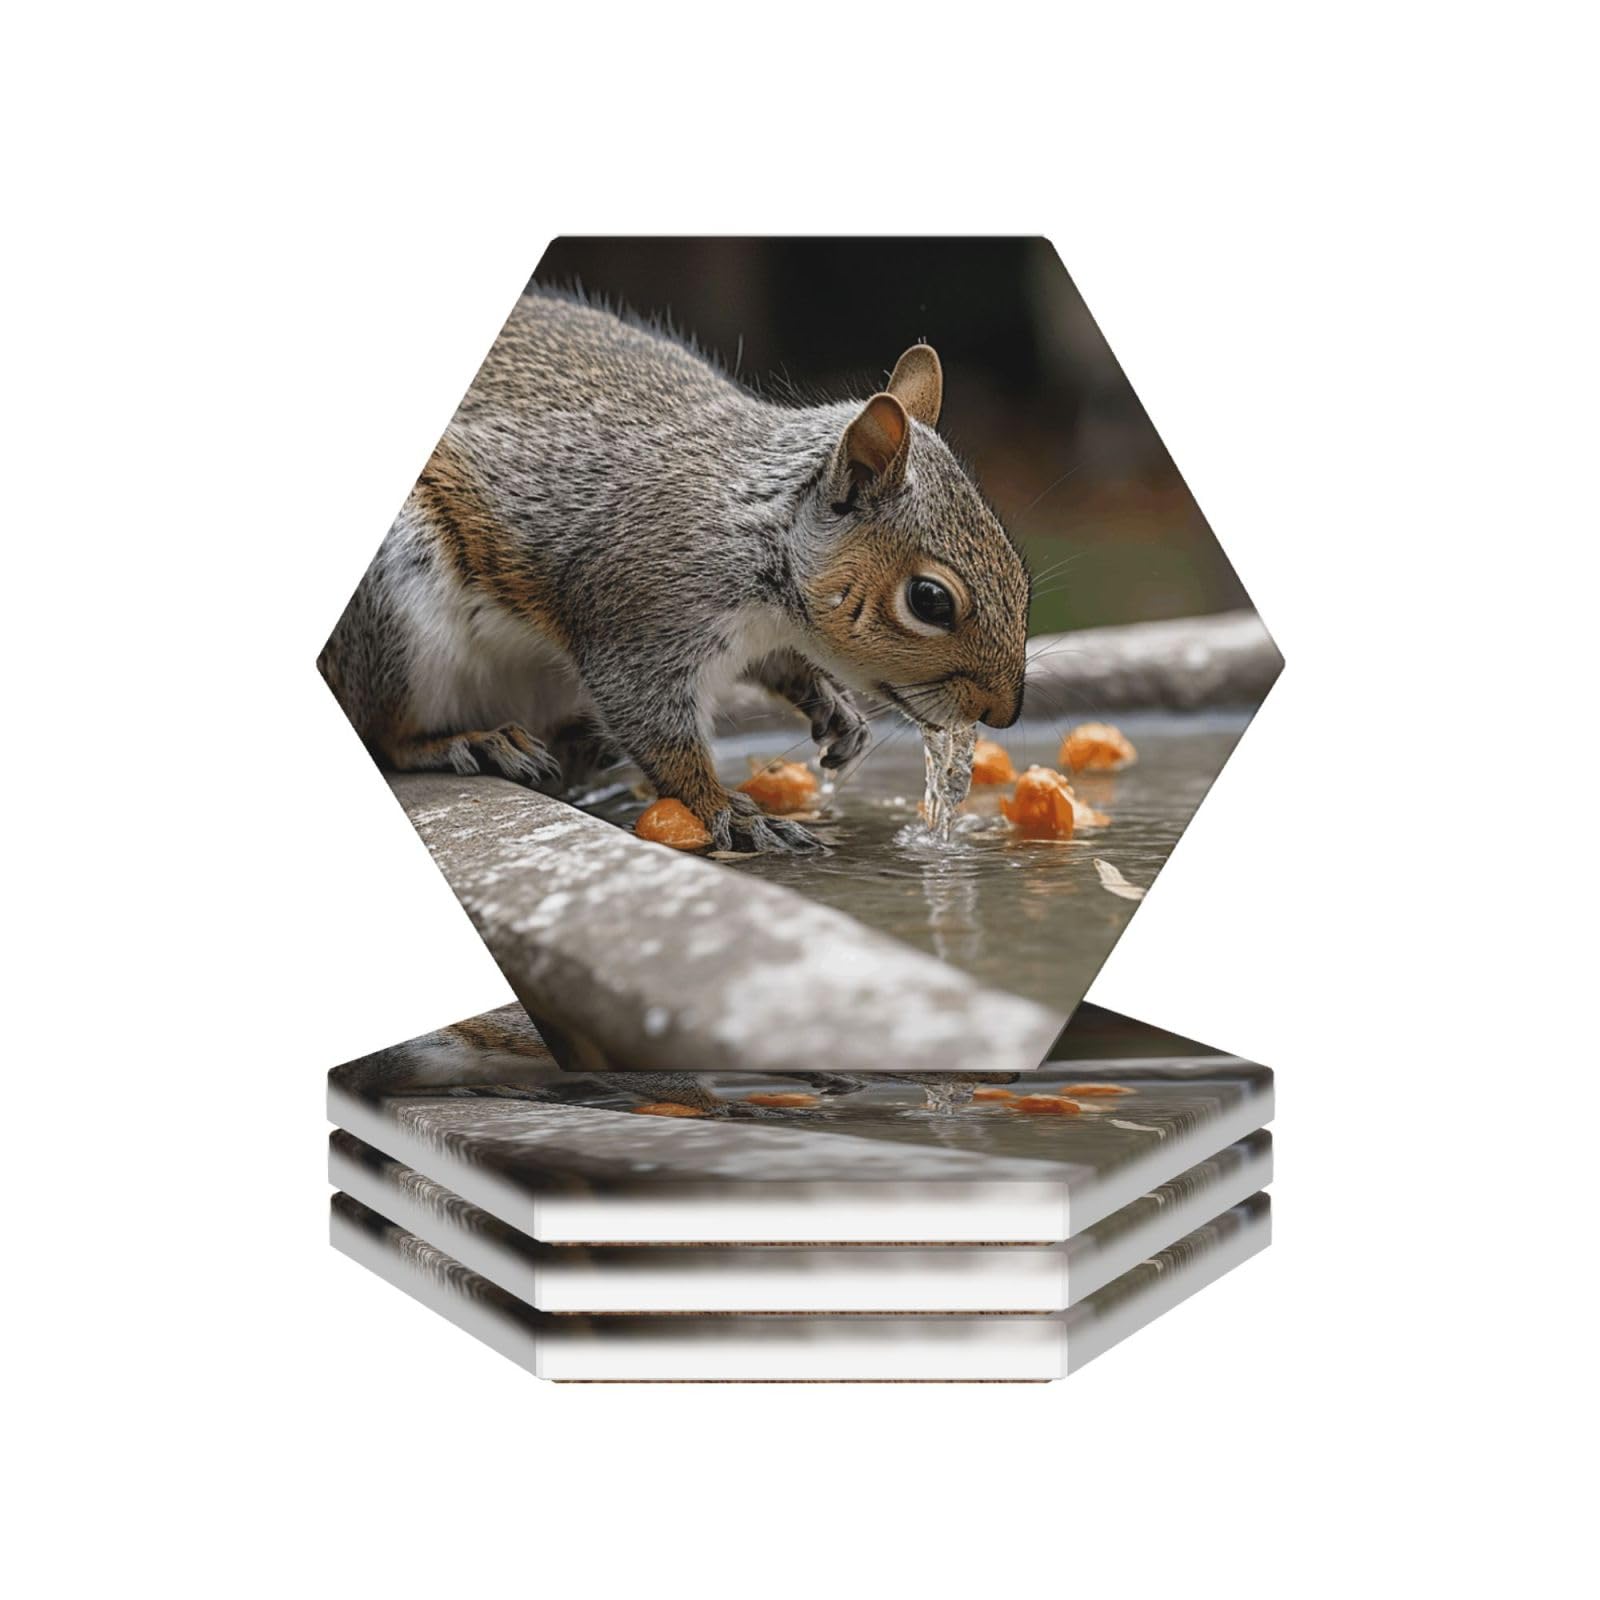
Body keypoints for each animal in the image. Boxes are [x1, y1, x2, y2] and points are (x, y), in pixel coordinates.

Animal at [319, 290, 1032, 853]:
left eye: (1020, 570)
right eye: (930, 600)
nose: (1002, 713)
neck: (759, 537)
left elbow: (783, 669)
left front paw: (834, 708)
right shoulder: (640, 616)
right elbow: (654, 726)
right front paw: (725, 809)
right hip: (394, 620)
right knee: (387, 735)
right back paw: (471, 741)